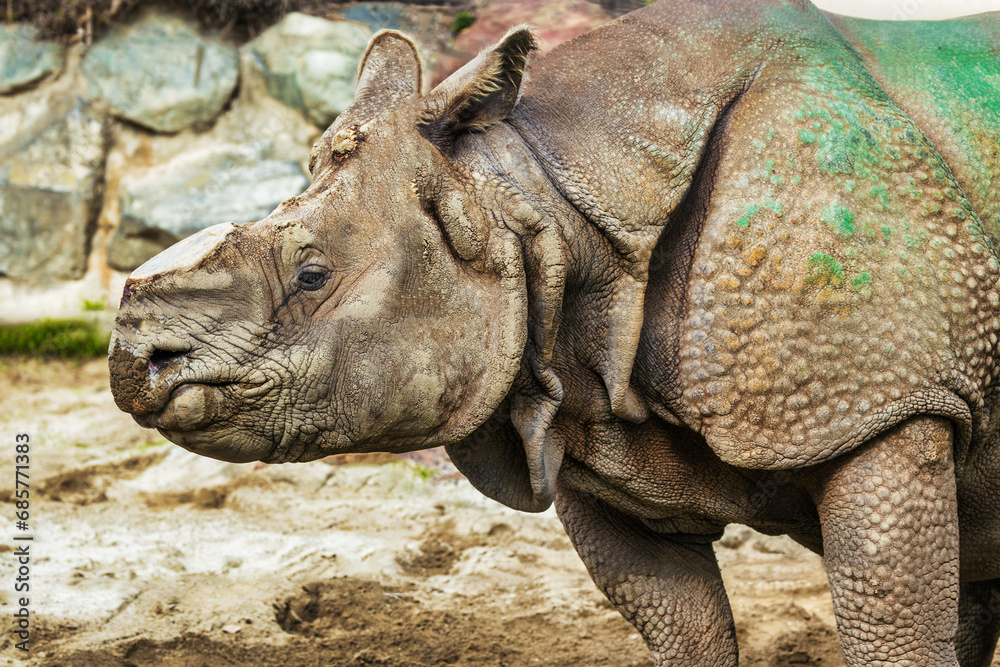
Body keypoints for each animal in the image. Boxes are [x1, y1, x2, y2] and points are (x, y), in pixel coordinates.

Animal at [109, 0, 1000, 663]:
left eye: (312, 276)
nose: (133, 362)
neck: (544, 200)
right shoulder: (595, 425)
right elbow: (687, 630)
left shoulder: (889, 400)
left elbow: (891, 632)